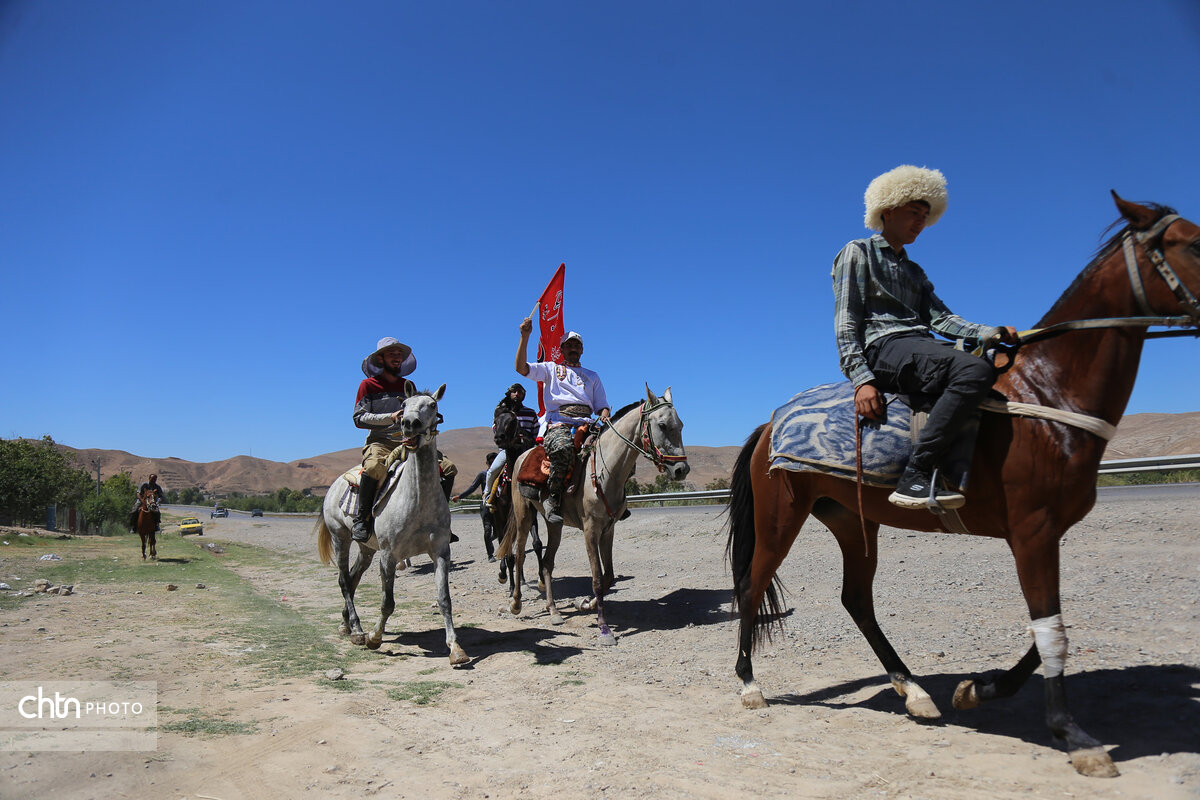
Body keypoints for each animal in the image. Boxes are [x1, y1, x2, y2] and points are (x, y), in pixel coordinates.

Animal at [314, 383, 468, 666]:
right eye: (403, 405)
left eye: (433, 406)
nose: (409, 423)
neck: (417, 500)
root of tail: (335, 484)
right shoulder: (388, 556)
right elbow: (388, 602)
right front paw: (375, 637)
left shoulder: (441, 552)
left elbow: (444, 599)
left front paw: (455, 648)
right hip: (340, 538)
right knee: (344, 581)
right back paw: (358, 630)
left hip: (366, 549)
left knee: (352, 578)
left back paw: (345, 625)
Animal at [494, 383, 686, 647]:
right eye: (663, 425)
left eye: (681, 425)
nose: (681, 469)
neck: (608, 471)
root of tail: (522, 456)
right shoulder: (590, 530)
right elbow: (596, 578)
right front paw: (604, 628)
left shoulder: (608, 530)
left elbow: (609, 576)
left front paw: (584, 604)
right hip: (524, 515)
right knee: (520, 554)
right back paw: (515, 603)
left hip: (555, 524)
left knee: (547, 562)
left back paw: (553, 610)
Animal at [724, 196, 1200, 777]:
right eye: (1194, 243)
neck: (1049, 396)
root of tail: (770, 423)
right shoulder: (1032, 531)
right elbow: (1052, 631)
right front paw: (1072, 734)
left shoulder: (1046, 534)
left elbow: (1047, 630)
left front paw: (977, 689)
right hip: (780, 517)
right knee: (751, 587)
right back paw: (750, 684)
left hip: (853, 522)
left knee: (856, 599)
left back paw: (914, 691)